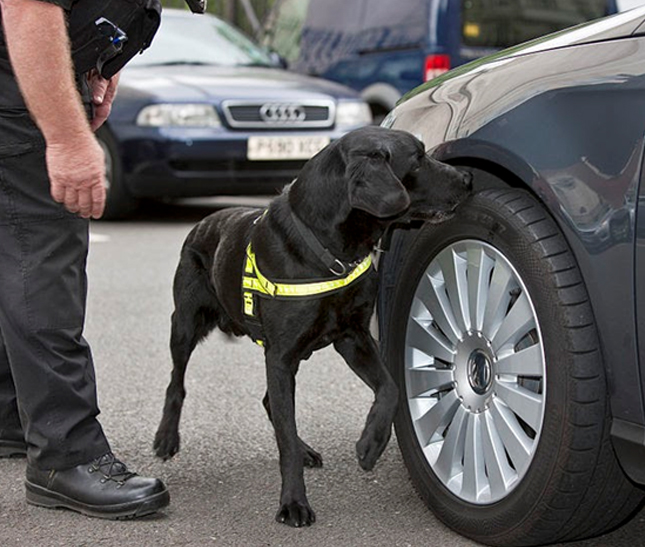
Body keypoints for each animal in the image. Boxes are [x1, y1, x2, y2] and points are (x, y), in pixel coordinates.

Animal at [153, 124, 470, 528]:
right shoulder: (281, 355)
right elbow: (285, 439)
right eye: (417, 159)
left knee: (272, 403)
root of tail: (205, 221)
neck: (330, 249)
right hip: (186, 324)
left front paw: (371, 444)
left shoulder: (352, 338)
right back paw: (166, 437)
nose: (468, 178)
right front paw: (293, 503)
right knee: (176, 383)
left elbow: (390, 388)